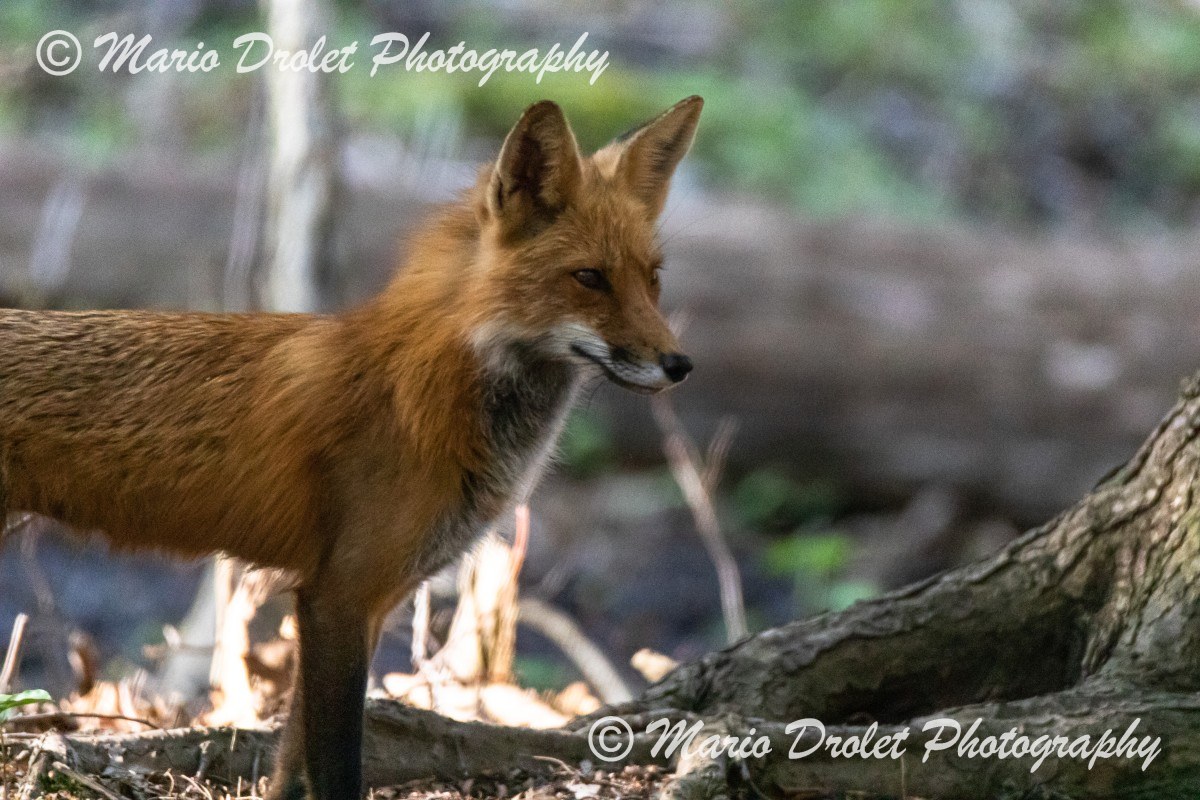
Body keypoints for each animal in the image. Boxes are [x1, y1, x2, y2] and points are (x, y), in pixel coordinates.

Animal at [0, 95, 702, 800]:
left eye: (653, 278)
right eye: (589, 278)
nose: (680, 365)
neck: (427, 390)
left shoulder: (366, 599)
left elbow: (291, 764)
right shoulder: (338, 596)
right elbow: (339, 763)